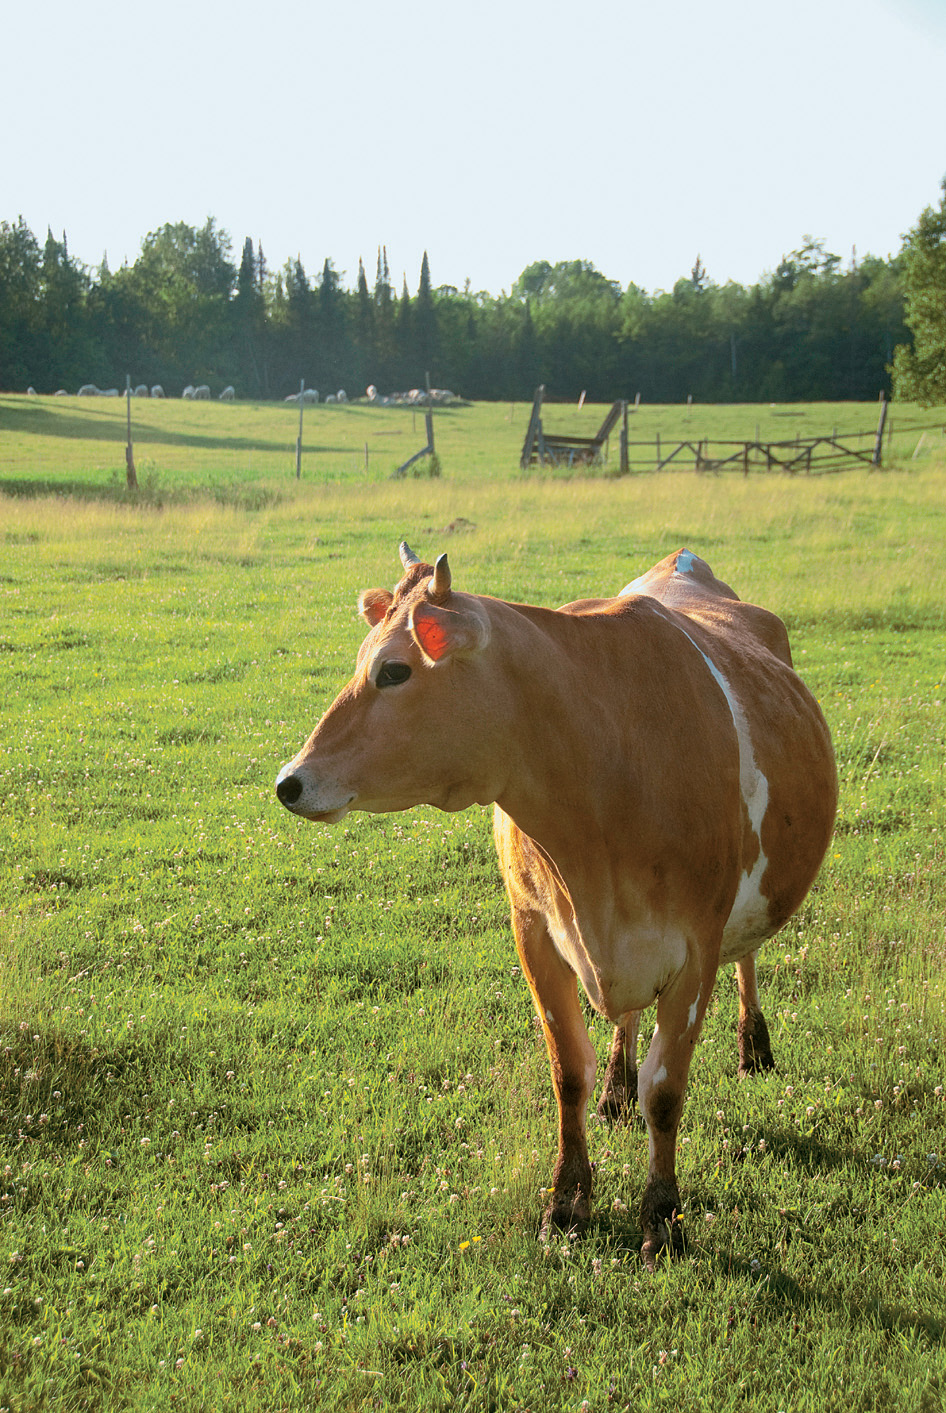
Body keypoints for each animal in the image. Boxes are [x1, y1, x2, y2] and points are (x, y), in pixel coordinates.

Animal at [277, 545, 837, 1266]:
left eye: (394, 670)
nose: (289, 782)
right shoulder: (535, 932)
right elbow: (568, 1070)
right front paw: (568, 1201)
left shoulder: (697, 946)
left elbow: (666, 1090)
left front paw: (663, 1215)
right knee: (627, 1021)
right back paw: (617, 1087)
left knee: (748, 957)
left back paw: (754, 1046)